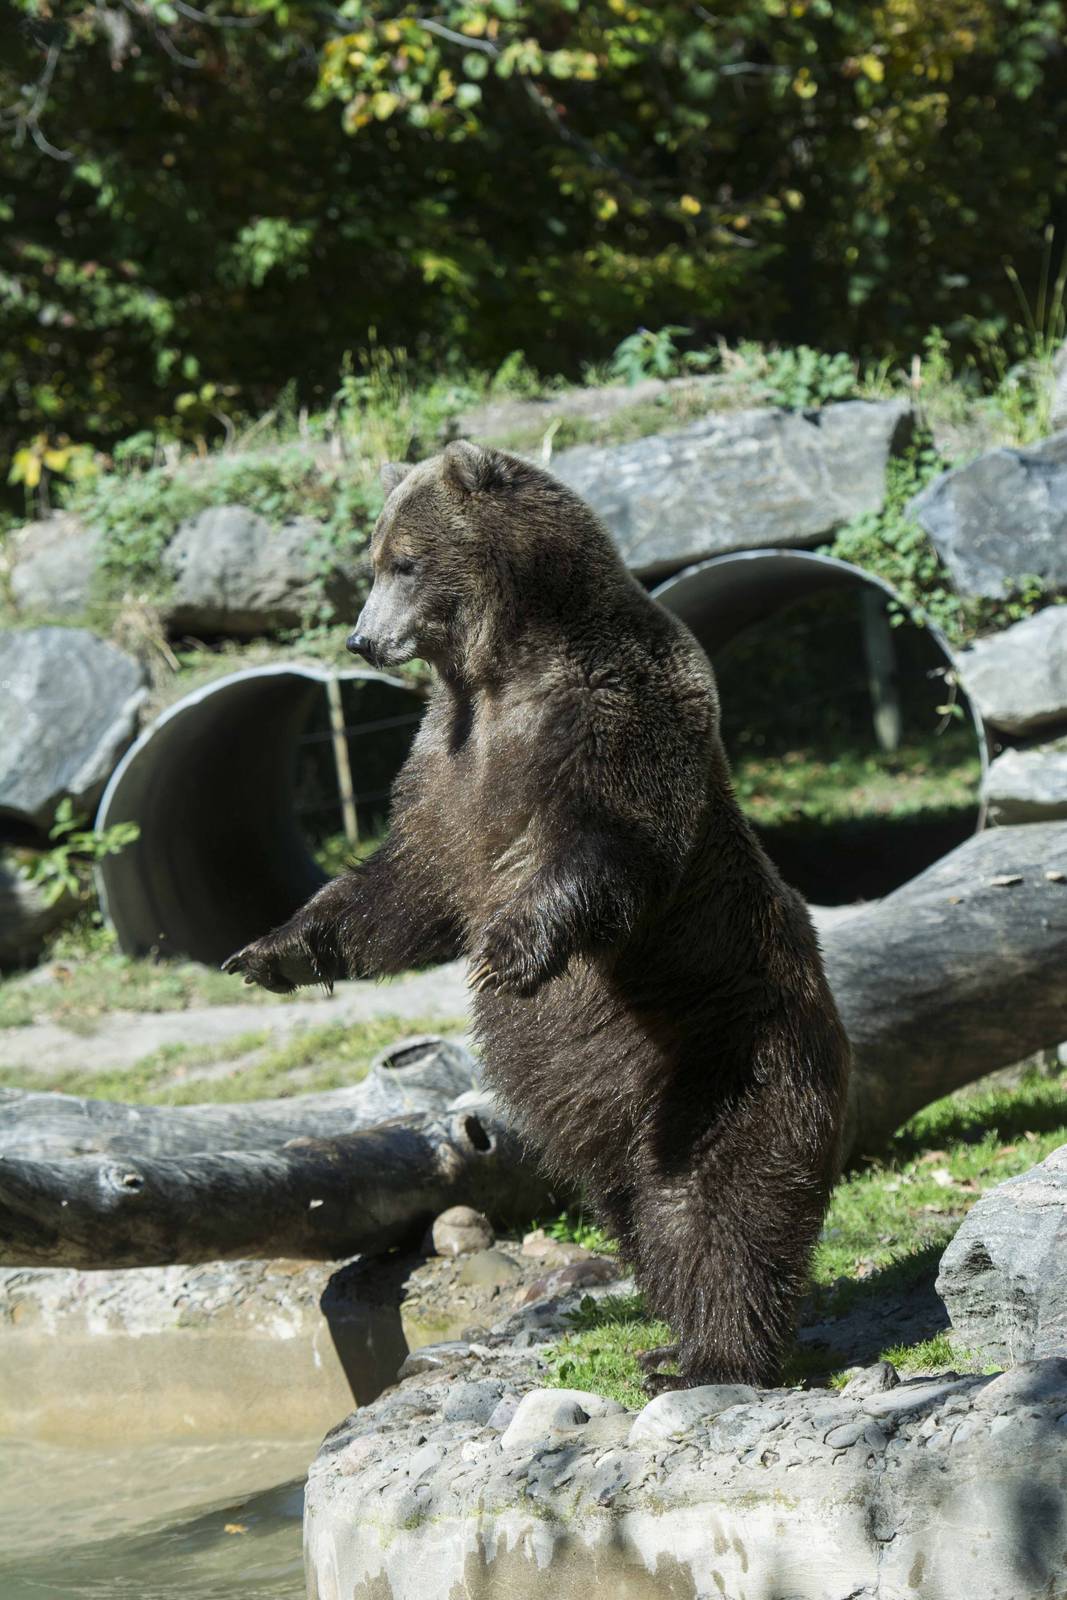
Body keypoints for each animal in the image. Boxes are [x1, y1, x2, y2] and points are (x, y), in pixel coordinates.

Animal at [224, 439, 851, 1389]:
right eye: (374, 561)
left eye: (403, 563)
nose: (362, 638)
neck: (505, 664)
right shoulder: (448, 761)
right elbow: (409, 883)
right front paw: (272, 951)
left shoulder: (612, 712)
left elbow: (607, 842)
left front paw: (512, 951)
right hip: (635, 1114)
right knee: (648, 1215)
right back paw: (669, 1338)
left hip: (731, 1054)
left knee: (723, 1206)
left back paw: (710, 1356)